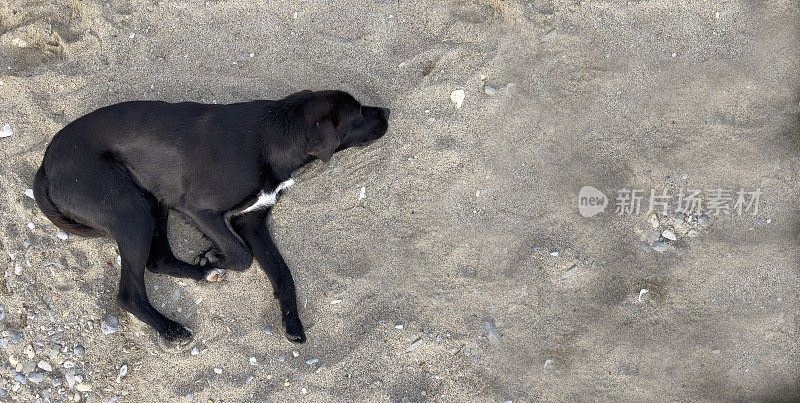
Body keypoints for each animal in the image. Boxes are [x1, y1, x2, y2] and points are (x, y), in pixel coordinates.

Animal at [34, 90, 390, 346]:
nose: (387, 112)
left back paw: (203, 275)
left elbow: (282, 272)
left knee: (158, 260)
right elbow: (241, 255)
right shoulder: (199, 209)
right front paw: (214, 255)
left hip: (153, 199)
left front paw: (292, 320)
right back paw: (171, 329)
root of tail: (45, 164)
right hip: (130, 210)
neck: (275, 136)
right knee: (129, 293)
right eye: (358, 113)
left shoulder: (252, 221)